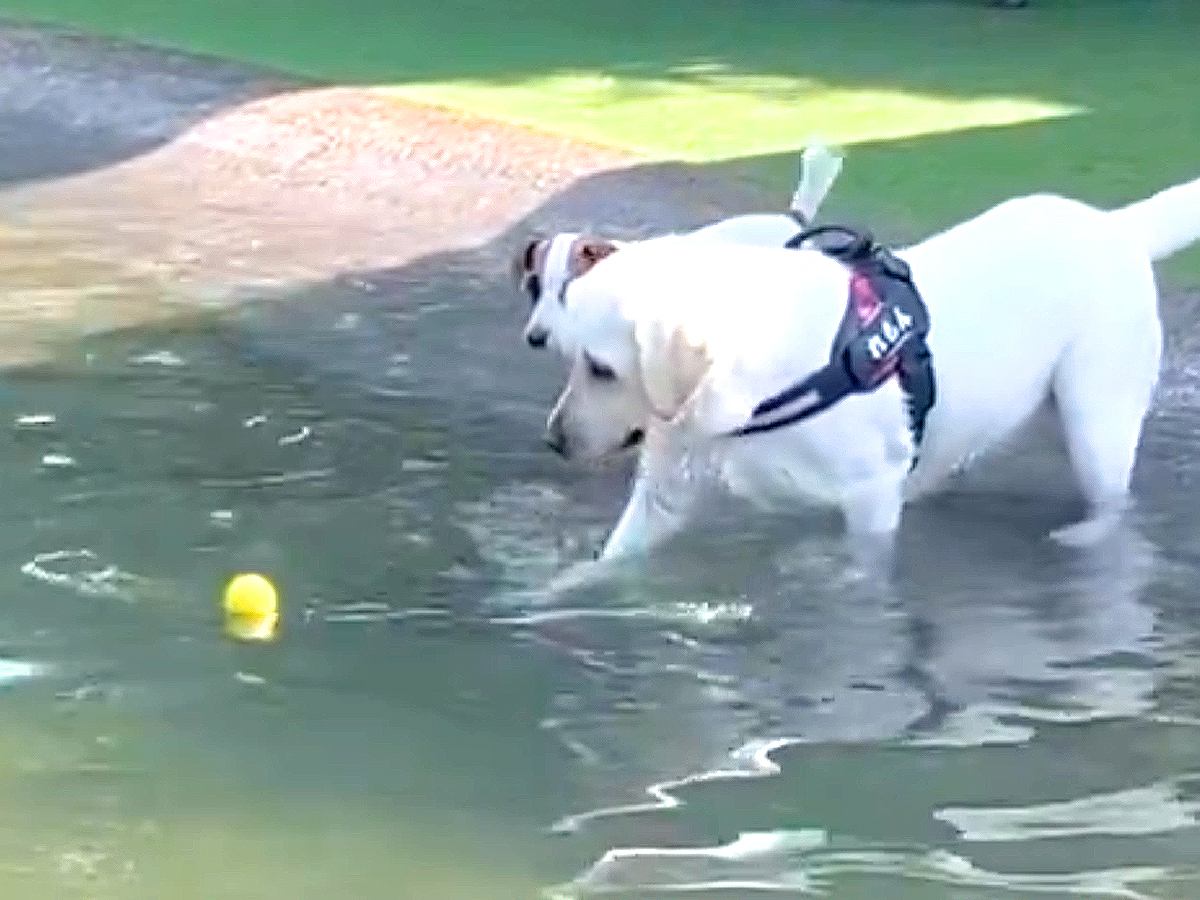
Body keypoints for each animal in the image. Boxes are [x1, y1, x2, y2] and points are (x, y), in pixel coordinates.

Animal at [544, 172, 1200, 564]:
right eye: (567, 358)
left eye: (601, 368)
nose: (553, 441)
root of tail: (1114, 224)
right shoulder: (665, 489)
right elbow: (609, 562)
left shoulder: (869, 497)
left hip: (1096, 419)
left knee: (1113, 501)